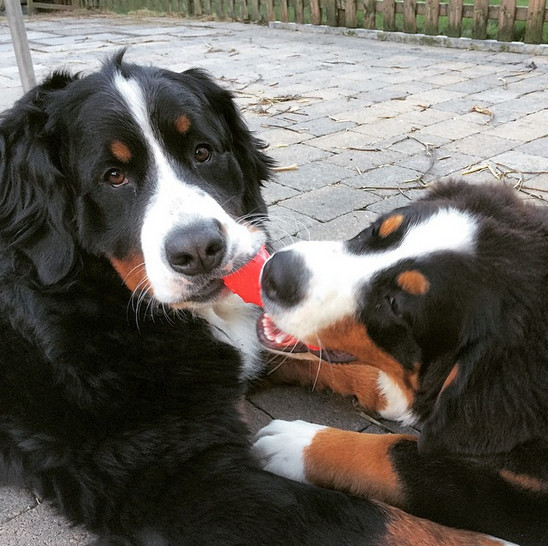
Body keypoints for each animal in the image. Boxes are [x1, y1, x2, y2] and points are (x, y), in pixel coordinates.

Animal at [0, 53, 510, 540]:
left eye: (203, 152)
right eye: (113, 177)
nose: (199, 250)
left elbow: (286, 348)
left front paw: (390, 388)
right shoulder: (173, 476)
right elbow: (383, 524)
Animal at [253, 180, 548, 544]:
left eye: (394, 304)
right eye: (372, 231)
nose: (275, 272)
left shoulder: (523, 502)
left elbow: (404, 459)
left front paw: (298, 443)